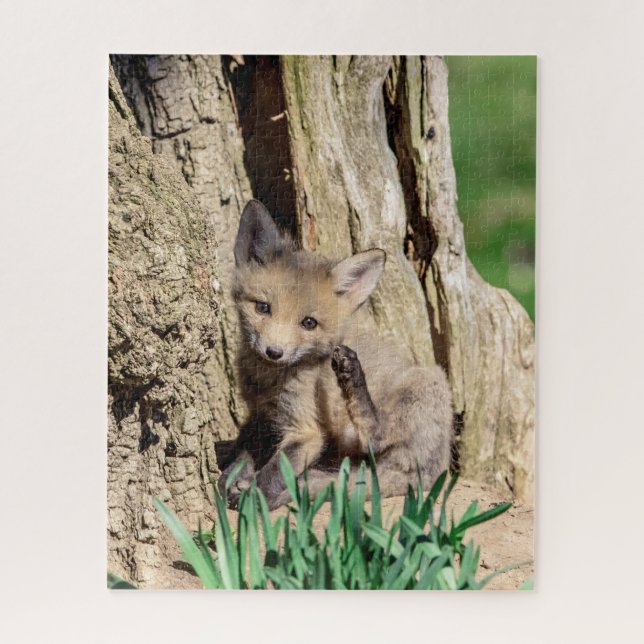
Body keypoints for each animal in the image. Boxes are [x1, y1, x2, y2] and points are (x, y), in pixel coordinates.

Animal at [217, 199, 453, 509]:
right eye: (263, 308)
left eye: (308, 323)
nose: (274, 352)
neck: (270, 381)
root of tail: (434, 471)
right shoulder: (262, 414)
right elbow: (245, 449)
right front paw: (232, 477)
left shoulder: (307, 430)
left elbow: (276, 470)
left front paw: (254, 496)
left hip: (427, 384)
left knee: (375, 436)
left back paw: (352, 375)